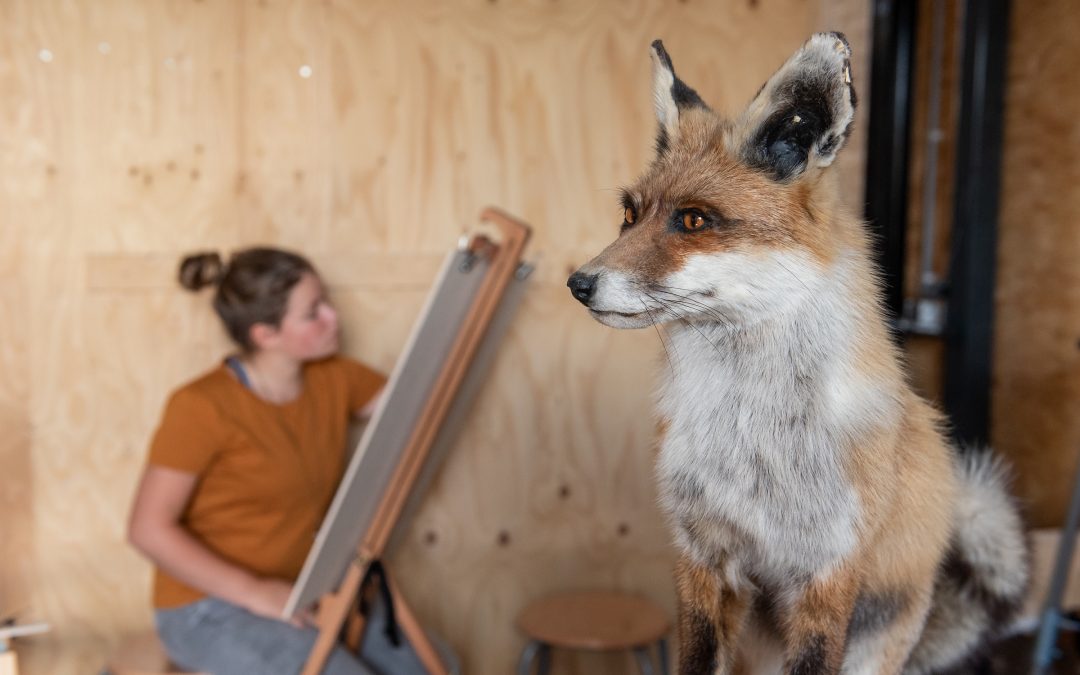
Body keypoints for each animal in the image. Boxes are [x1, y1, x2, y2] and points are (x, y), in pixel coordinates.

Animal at [565, 35, 1028, 673]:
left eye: (694, 220)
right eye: (630, 216)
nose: (578, 283)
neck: (754, 445)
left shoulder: (828, 570)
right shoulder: (700, 555)